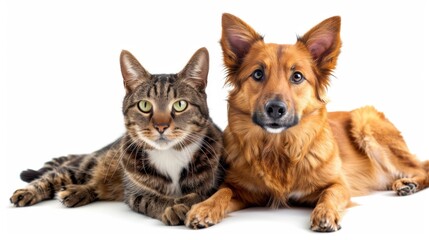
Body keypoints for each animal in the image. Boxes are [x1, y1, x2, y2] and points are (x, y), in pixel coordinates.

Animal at [10, 47, 224, 225]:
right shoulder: (136, 193)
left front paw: (187, 203)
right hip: (88, 164)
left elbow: (199, 195)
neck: (170, 155)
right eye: (144, 105)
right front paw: (175, 206)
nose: (161, 126)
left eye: (180, 105)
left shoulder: (214, 183)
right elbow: (154, 199)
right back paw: (28, 192)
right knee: (54, 175)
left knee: (94, 186)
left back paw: (77, 192)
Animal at [184, 13, 428, 232]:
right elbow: (222, 192)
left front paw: (325, 212)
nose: (275, 109)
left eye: (297, 76)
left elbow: (330, 193)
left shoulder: (339, 184)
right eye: (258, 74)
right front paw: (205, 207)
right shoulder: (242, 189)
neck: (278, 149)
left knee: (421, 168)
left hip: (364, 121)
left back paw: (409, 183)